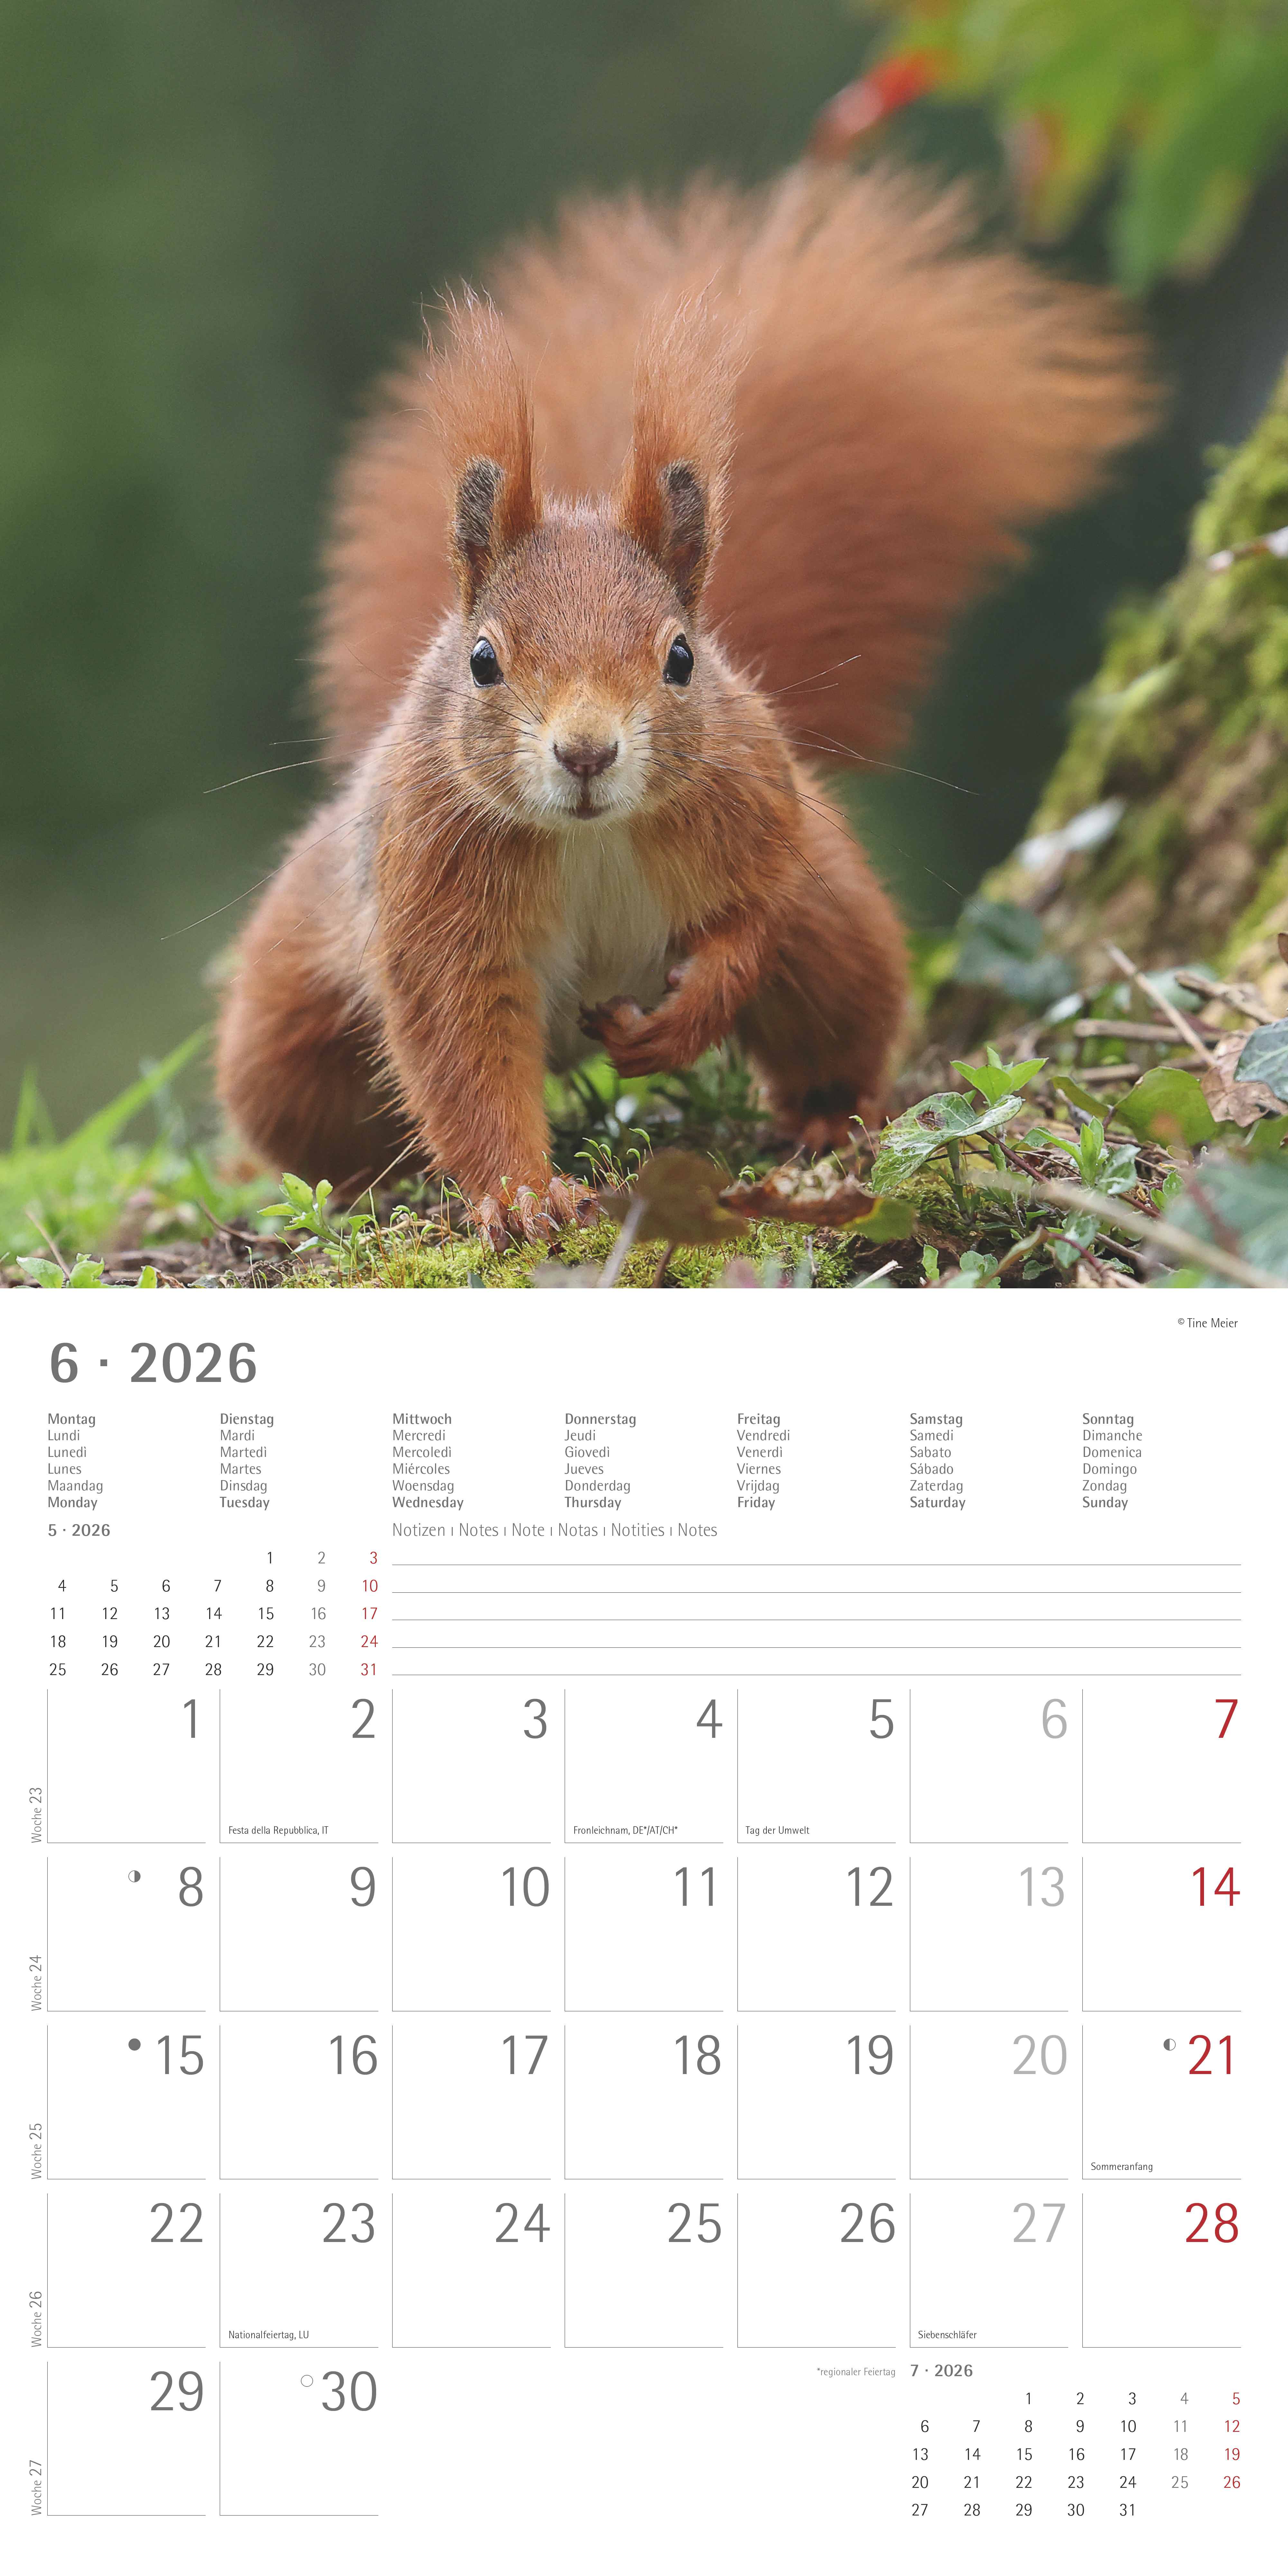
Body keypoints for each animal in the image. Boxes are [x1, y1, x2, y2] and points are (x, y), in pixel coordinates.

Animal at [216, 163, 1151, 1243]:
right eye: (484, 661)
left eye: (680, 658)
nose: (586, 753)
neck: (588, 837)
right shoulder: (437, 900)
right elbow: (463, 1054)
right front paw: (522, 1194)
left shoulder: (754, 814)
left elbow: (749, 925)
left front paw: (688, 1017)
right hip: (288, 1022)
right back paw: (371, 1180)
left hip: (837, 921)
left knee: (835, 993)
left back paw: (825, 1115)